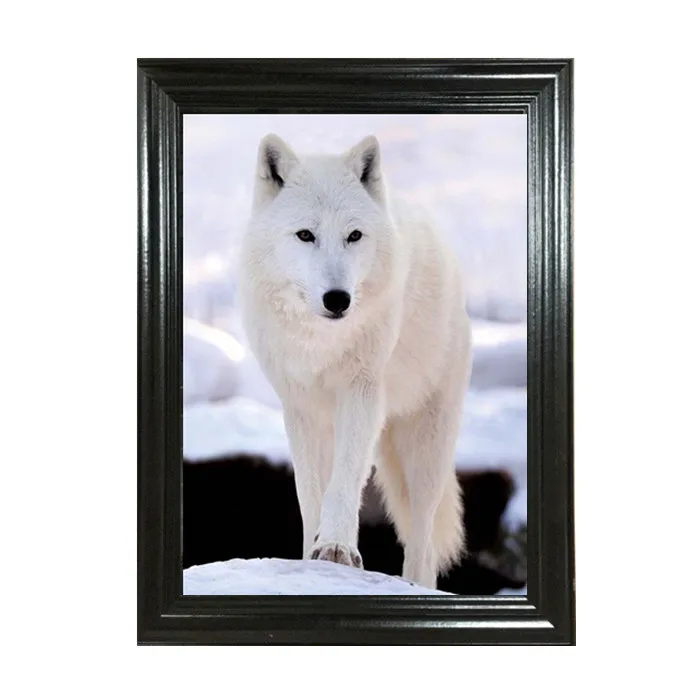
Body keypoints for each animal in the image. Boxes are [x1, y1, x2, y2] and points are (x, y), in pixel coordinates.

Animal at [238, 133, 472, 589]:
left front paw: (337, 549)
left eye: (354, 236)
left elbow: (345, 480)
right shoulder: (301, 408)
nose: (337, 299)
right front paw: (313, 558)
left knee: (422, 543)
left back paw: (416, 586)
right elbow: (310, 492)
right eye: (305, 235)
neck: (321, 344)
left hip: (426, 451)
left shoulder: (361, 393)